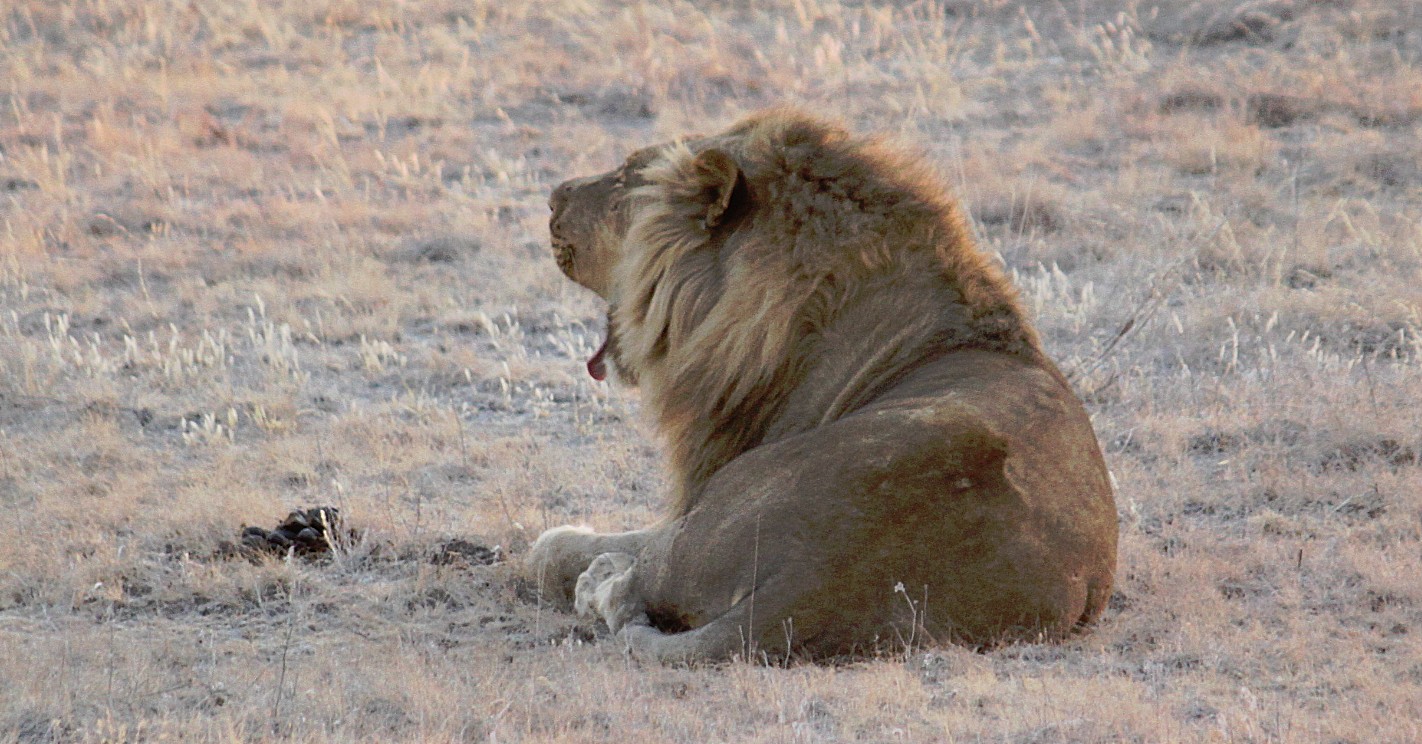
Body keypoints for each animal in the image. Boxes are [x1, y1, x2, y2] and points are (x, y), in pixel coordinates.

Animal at [528, 105, 1114, 662]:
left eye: (625, 176)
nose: (552, 198)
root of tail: (815, 581)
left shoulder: (692, 494)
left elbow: (561, 547)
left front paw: (570, 544)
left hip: (713, 509)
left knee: (633, 579)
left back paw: (598, 578)